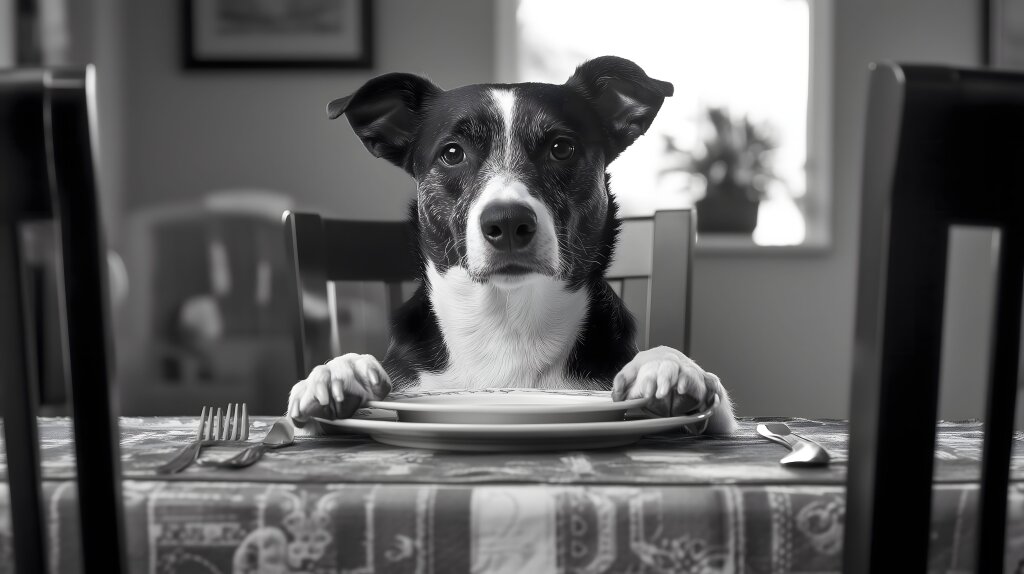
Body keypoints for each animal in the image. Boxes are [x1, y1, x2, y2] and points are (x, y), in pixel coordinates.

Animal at [286, 57, 737, 433]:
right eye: (453, 153)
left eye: (561, 148)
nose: (506, 222)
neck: (507, 320)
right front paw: (337, 372)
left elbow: (715, 408)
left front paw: (667, 364)